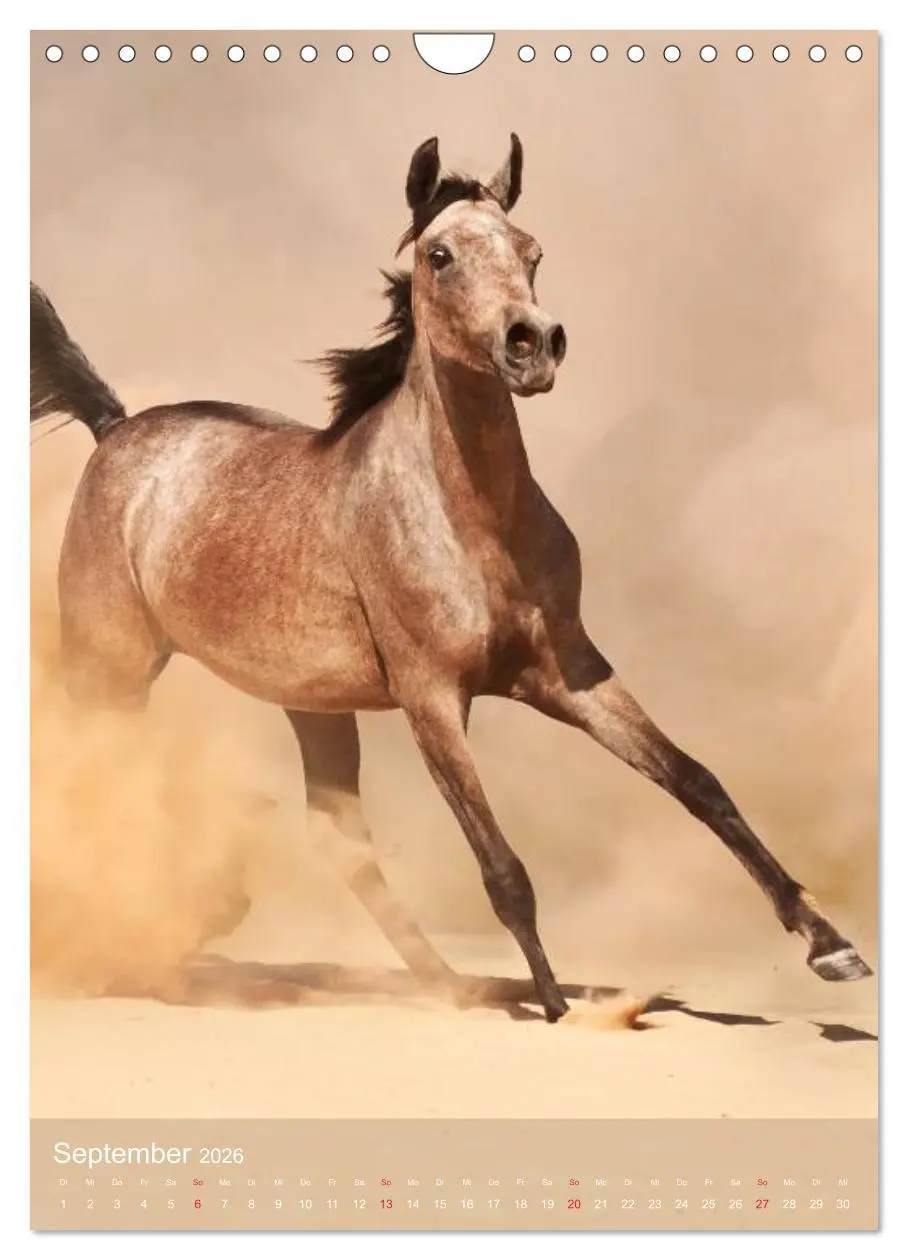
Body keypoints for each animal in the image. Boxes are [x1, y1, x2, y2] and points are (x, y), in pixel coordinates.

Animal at [30, 134, 871, 1022]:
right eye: (440, 255)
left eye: (532, 250)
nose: (532, 343)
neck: (475, 526)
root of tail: (117, 429)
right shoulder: (431, 697)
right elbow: (503, 867)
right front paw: (559, 1009)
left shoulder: (569, 674)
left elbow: (698, 782)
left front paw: (831, 946)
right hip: (111, 671)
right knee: (96, 786)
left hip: (311, 703)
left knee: (337, 836)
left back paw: (444, 983)